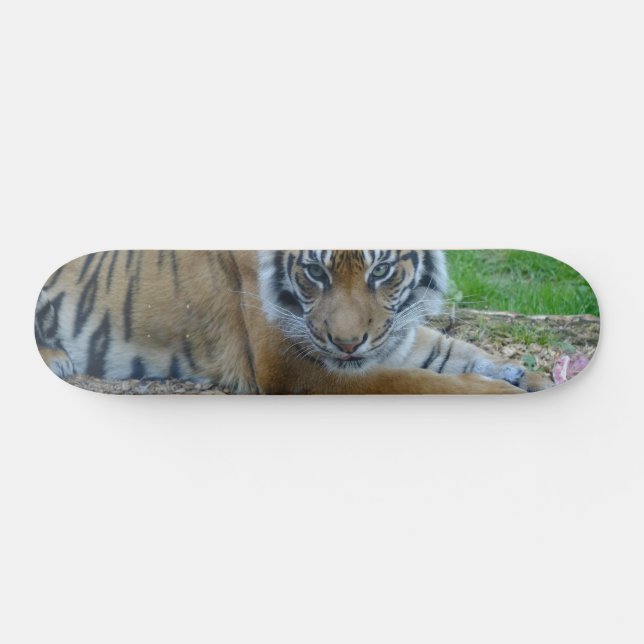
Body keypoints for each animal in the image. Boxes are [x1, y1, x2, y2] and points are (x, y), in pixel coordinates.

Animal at [35, 250, 552, 394]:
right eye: (315, 272)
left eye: (382, 270)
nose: (348, 342)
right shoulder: (294, 365)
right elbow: (418, 382)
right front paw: (503, 391)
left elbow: (452, 353)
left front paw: (533, 376)